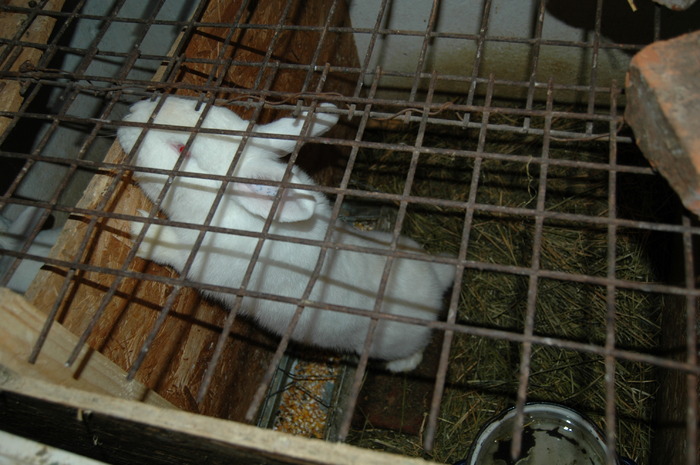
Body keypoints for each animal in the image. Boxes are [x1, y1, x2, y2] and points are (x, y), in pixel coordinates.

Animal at [117, 95, 454, 372]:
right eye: (198, 107)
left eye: (182, 150)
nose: (130, 112)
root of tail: (437, 283)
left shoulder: (204, 264)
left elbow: (174, 250)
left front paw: (142, 229)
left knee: (414, 353)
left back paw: (400, 364)